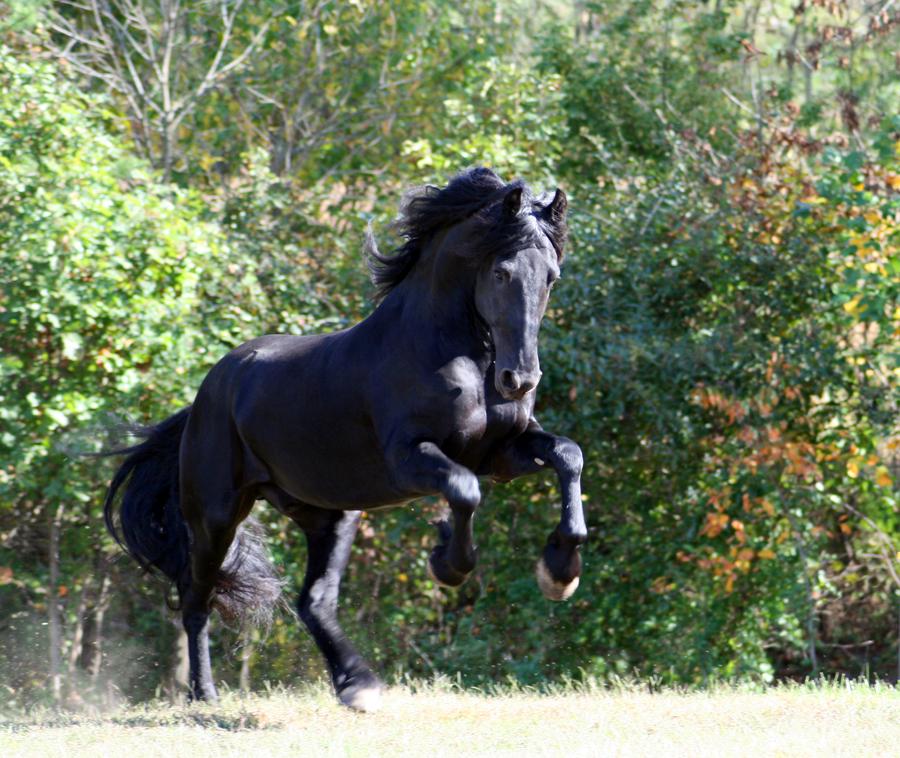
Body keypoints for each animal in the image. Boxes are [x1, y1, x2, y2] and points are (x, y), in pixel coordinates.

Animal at [105, 166, 588, 712]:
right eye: (502, 273)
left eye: (550, 277)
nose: (519, 380)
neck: (447, 350)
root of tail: (206, 397)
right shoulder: (411, 459)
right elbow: (465, 490)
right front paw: (446, 562)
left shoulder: (500, 453)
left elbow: (568, 456)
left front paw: (560, 570)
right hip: (215, 517)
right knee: (196, 598)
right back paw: (205, 696)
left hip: (329, 516)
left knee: (312, 602)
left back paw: (357, 684)